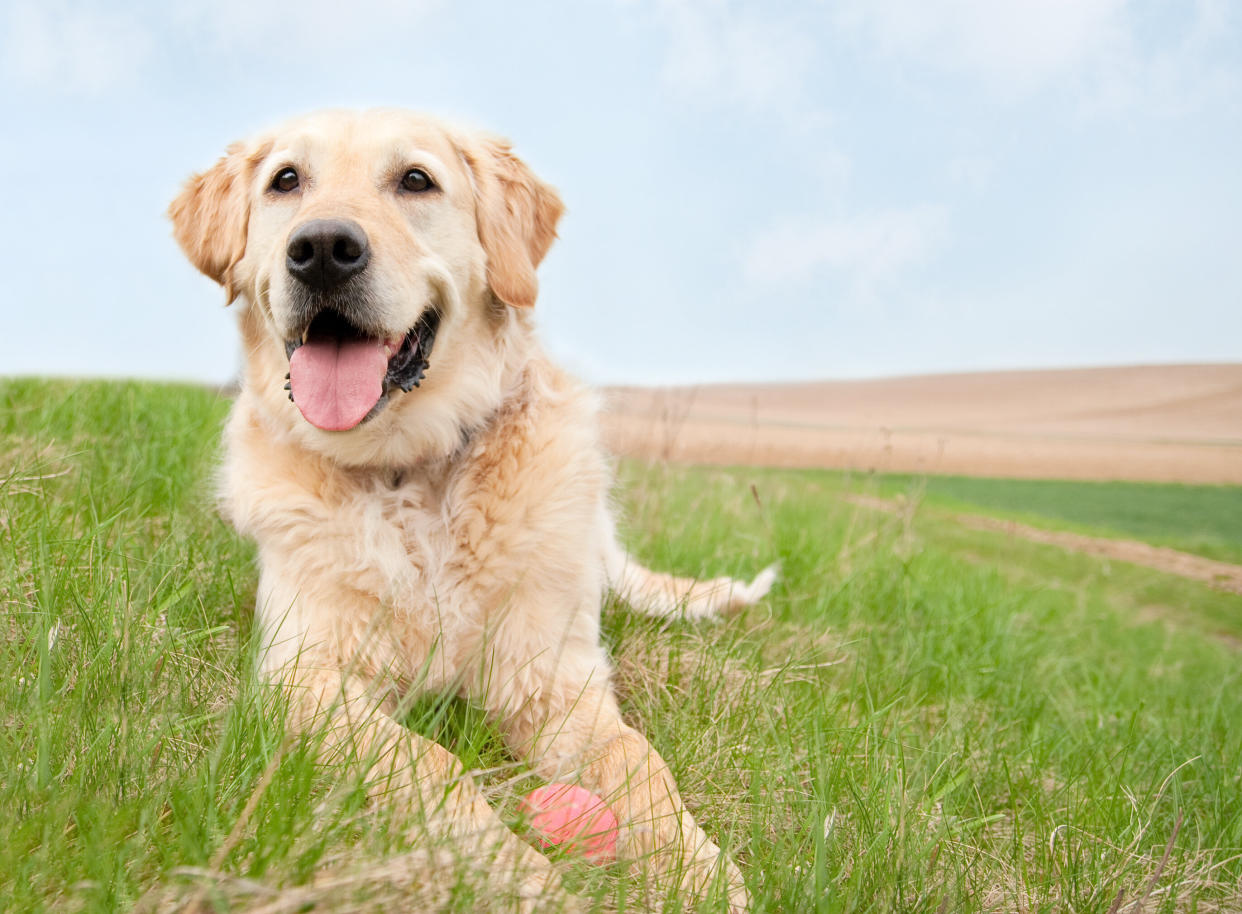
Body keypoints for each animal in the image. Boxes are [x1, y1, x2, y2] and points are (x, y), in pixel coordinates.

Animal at [170, 106, 770, 909]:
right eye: (286, 180)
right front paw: (523, 877)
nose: (322, 250)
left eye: (416, 180)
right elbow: (431, 765)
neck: (409, 472)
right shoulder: (302, 675)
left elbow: (641, 766)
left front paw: (697, 875)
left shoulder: (553, 678)